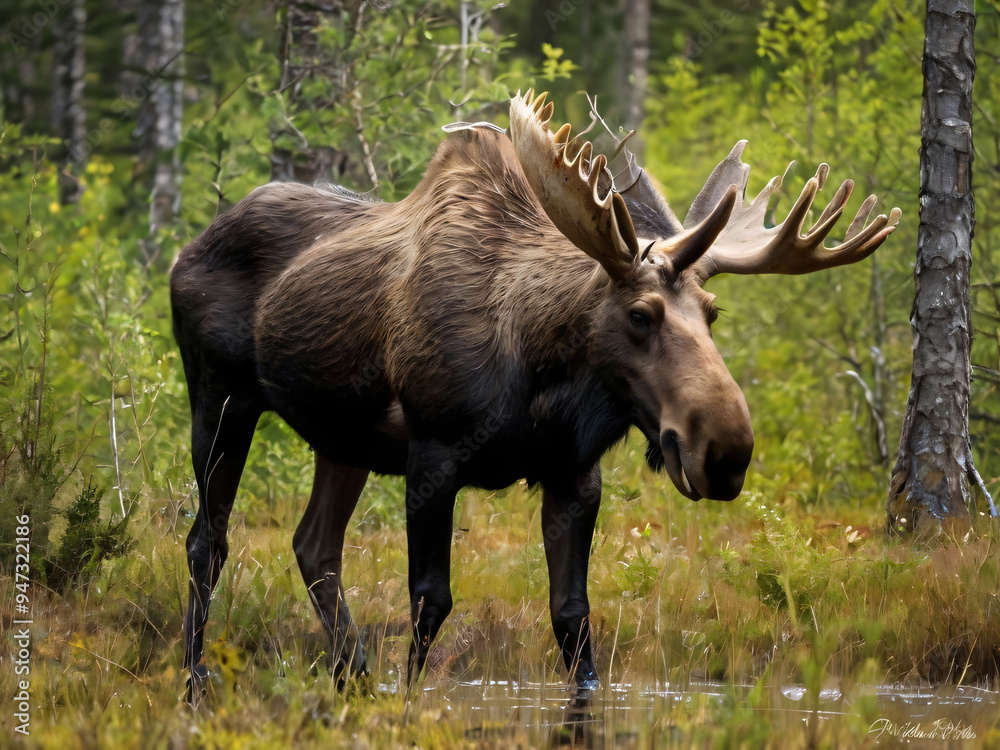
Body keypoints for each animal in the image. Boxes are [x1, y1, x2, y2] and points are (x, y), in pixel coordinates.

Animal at [172, 89, 900, 700]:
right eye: (640, 314)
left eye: (713, 313)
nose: (724, 450)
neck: (541, 383)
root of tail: (185, 250)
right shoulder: (432, 454)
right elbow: (430, 599)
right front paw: (406, 700)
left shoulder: (574, 473)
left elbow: (572, 617)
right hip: (221, 398)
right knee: (208, 540)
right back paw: (197, 674)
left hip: (342, 439)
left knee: (314, 546)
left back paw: (352, 677)